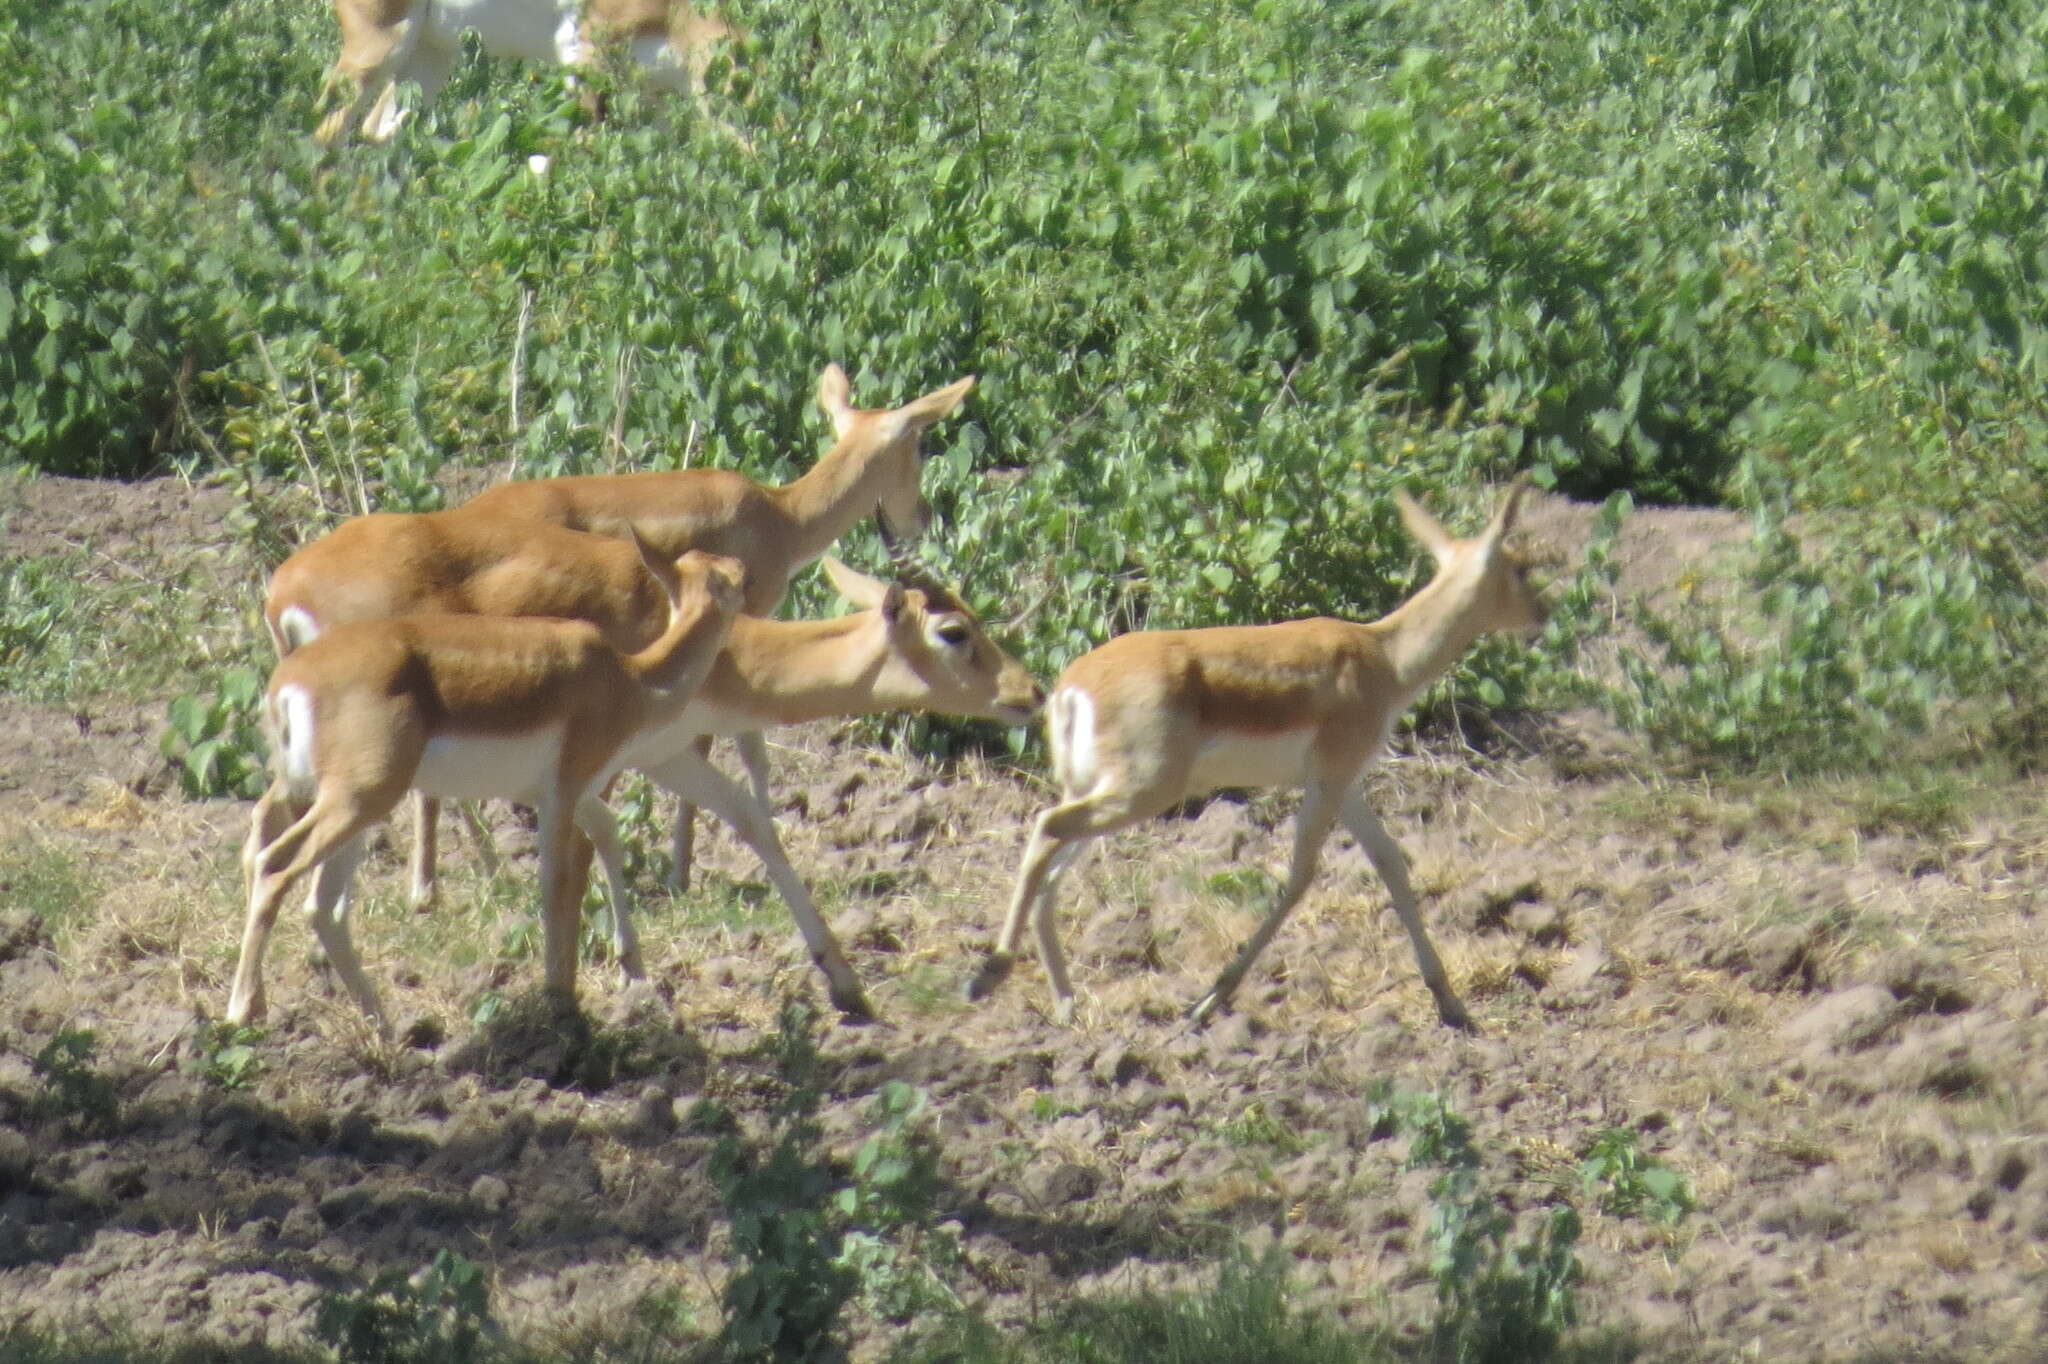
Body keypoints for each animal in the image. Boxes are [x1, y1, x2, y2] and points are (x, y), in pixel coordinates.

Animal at [232, 540, 745, 1032]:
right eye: (732, 578)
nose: (745, 575)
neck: (629, 679)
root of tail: (290, 681)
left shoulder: (573, 797)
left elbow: (606, 836)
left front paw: (628, 970)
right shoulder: (562, 795)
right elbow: (555, 882)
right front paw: (559, 998)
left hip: (339, 805)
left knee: (315, 898)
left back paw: (386, 1028)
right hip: (356, 801)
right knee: (276, 866)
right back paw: (244, 1009)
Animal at [323, 0, 757, 145]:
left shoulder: (656, 100)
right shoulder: (584, 61)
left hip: (429, 58)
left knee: (378, 129)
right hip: (380, 46)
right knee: (329, 129)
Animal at [966, 473, 1540, 1024]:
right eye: (1521, 568)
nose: (1544, 614)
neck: (1383, 655)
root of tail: (1074, 685)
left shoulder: (1347, 784)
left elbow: (1390, 861)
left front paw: (1451, 1003)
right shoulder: (1329, 781)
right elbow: (1301, 876)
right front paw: (1210, 998)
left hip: (1100, 792)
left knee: (1052, 866)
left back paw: (1065, 1003)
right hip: (1140, 793)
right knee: (1047, 829)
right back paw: (989, 975)